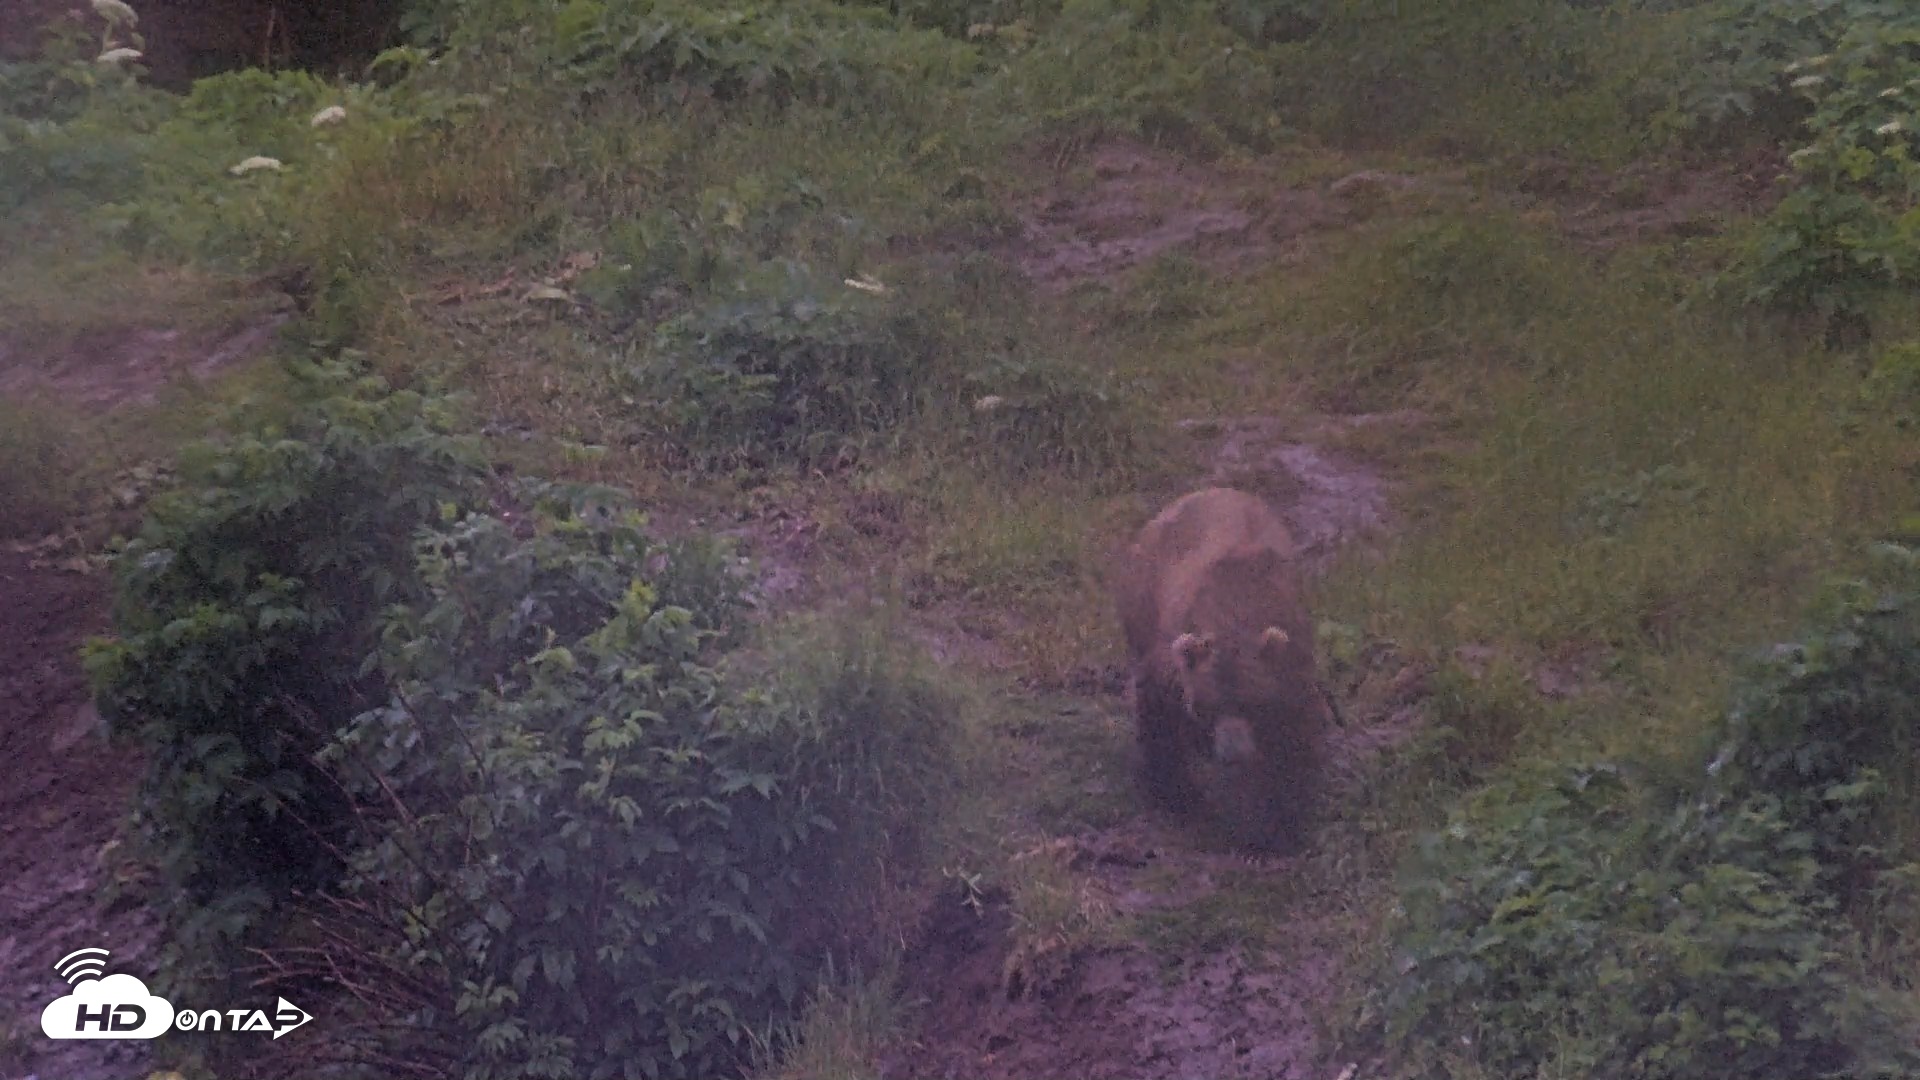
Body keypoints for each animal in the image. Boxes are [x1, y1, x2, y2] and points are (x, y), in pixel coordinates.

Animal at [1112, 487, 1335, 853]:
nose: (1232, 753)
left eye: (1253, 702)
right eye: (1205, 706)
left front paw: (1280, 823)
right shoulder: (1171, 655)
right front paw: (1177, 799)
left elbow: (1294, 737)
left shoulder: (1291, 658)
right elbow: (1159, 714)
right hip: (1141, 595)